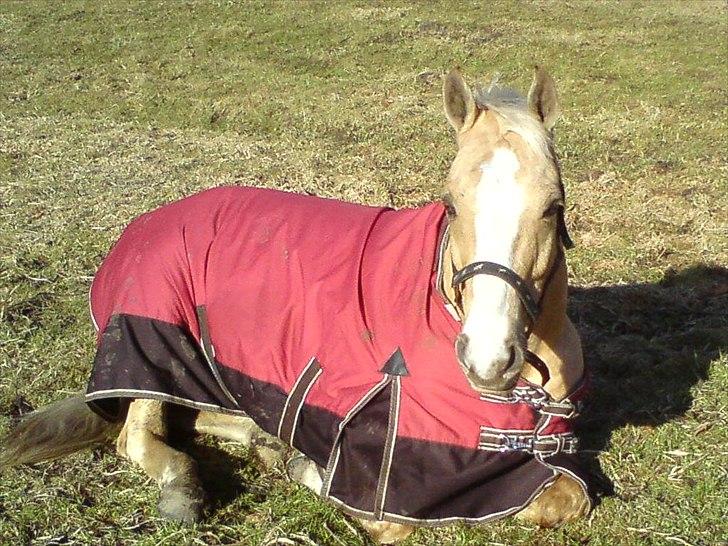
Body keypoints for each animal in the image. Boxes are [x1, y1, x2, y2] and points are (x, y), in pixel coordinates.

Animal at [0, 66, 592, 540]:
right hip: (148, 347)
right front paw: (311, 472)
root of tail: (148, 222)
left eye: (553, 206)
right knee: (138, 436)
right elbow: (392, 522)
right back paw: (189, 489)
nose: (487, 360)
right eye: (449, 204)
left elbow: (571, 496)